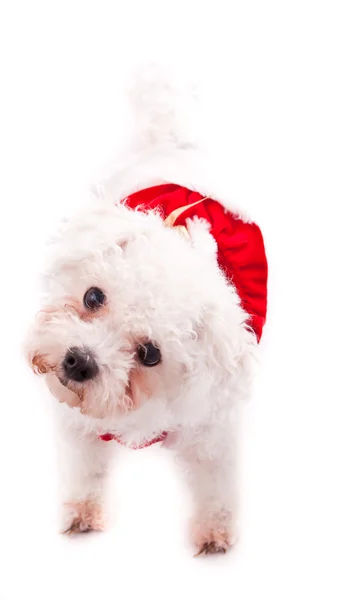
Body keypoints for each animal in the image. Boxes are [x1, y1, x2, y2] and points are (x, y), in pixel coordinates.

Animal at [25, 68, 268, 556]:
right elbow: (86, 470)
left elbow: (216, 484)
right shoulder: (79, 428)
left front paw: (215, 532)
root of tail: (169, 136)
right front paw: (81, 512)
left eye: (150, 354)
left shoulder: (212, 433)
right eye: (93, 297)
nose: (79, 361)